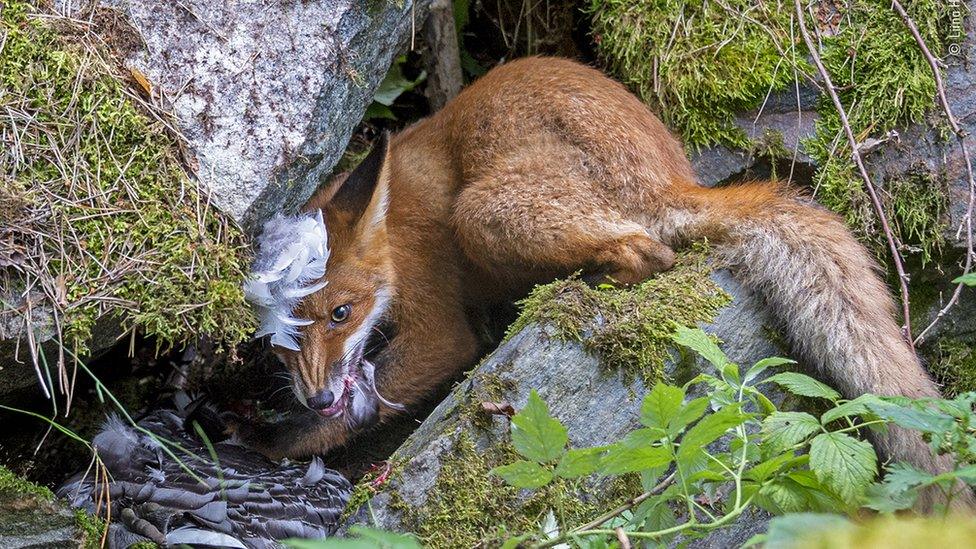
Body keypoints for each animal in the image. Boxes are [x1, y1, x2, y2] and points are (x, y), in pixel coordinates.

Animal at [240, 56, 956, 496]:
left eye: (341, 313)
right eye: (282, 337)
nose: (316, 396)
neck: (395, 235)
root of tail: (672, 176)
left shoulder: (439, 327)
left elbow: (370, 398)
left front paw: (274, 441)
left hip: (484, 211)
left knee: (650, 253)